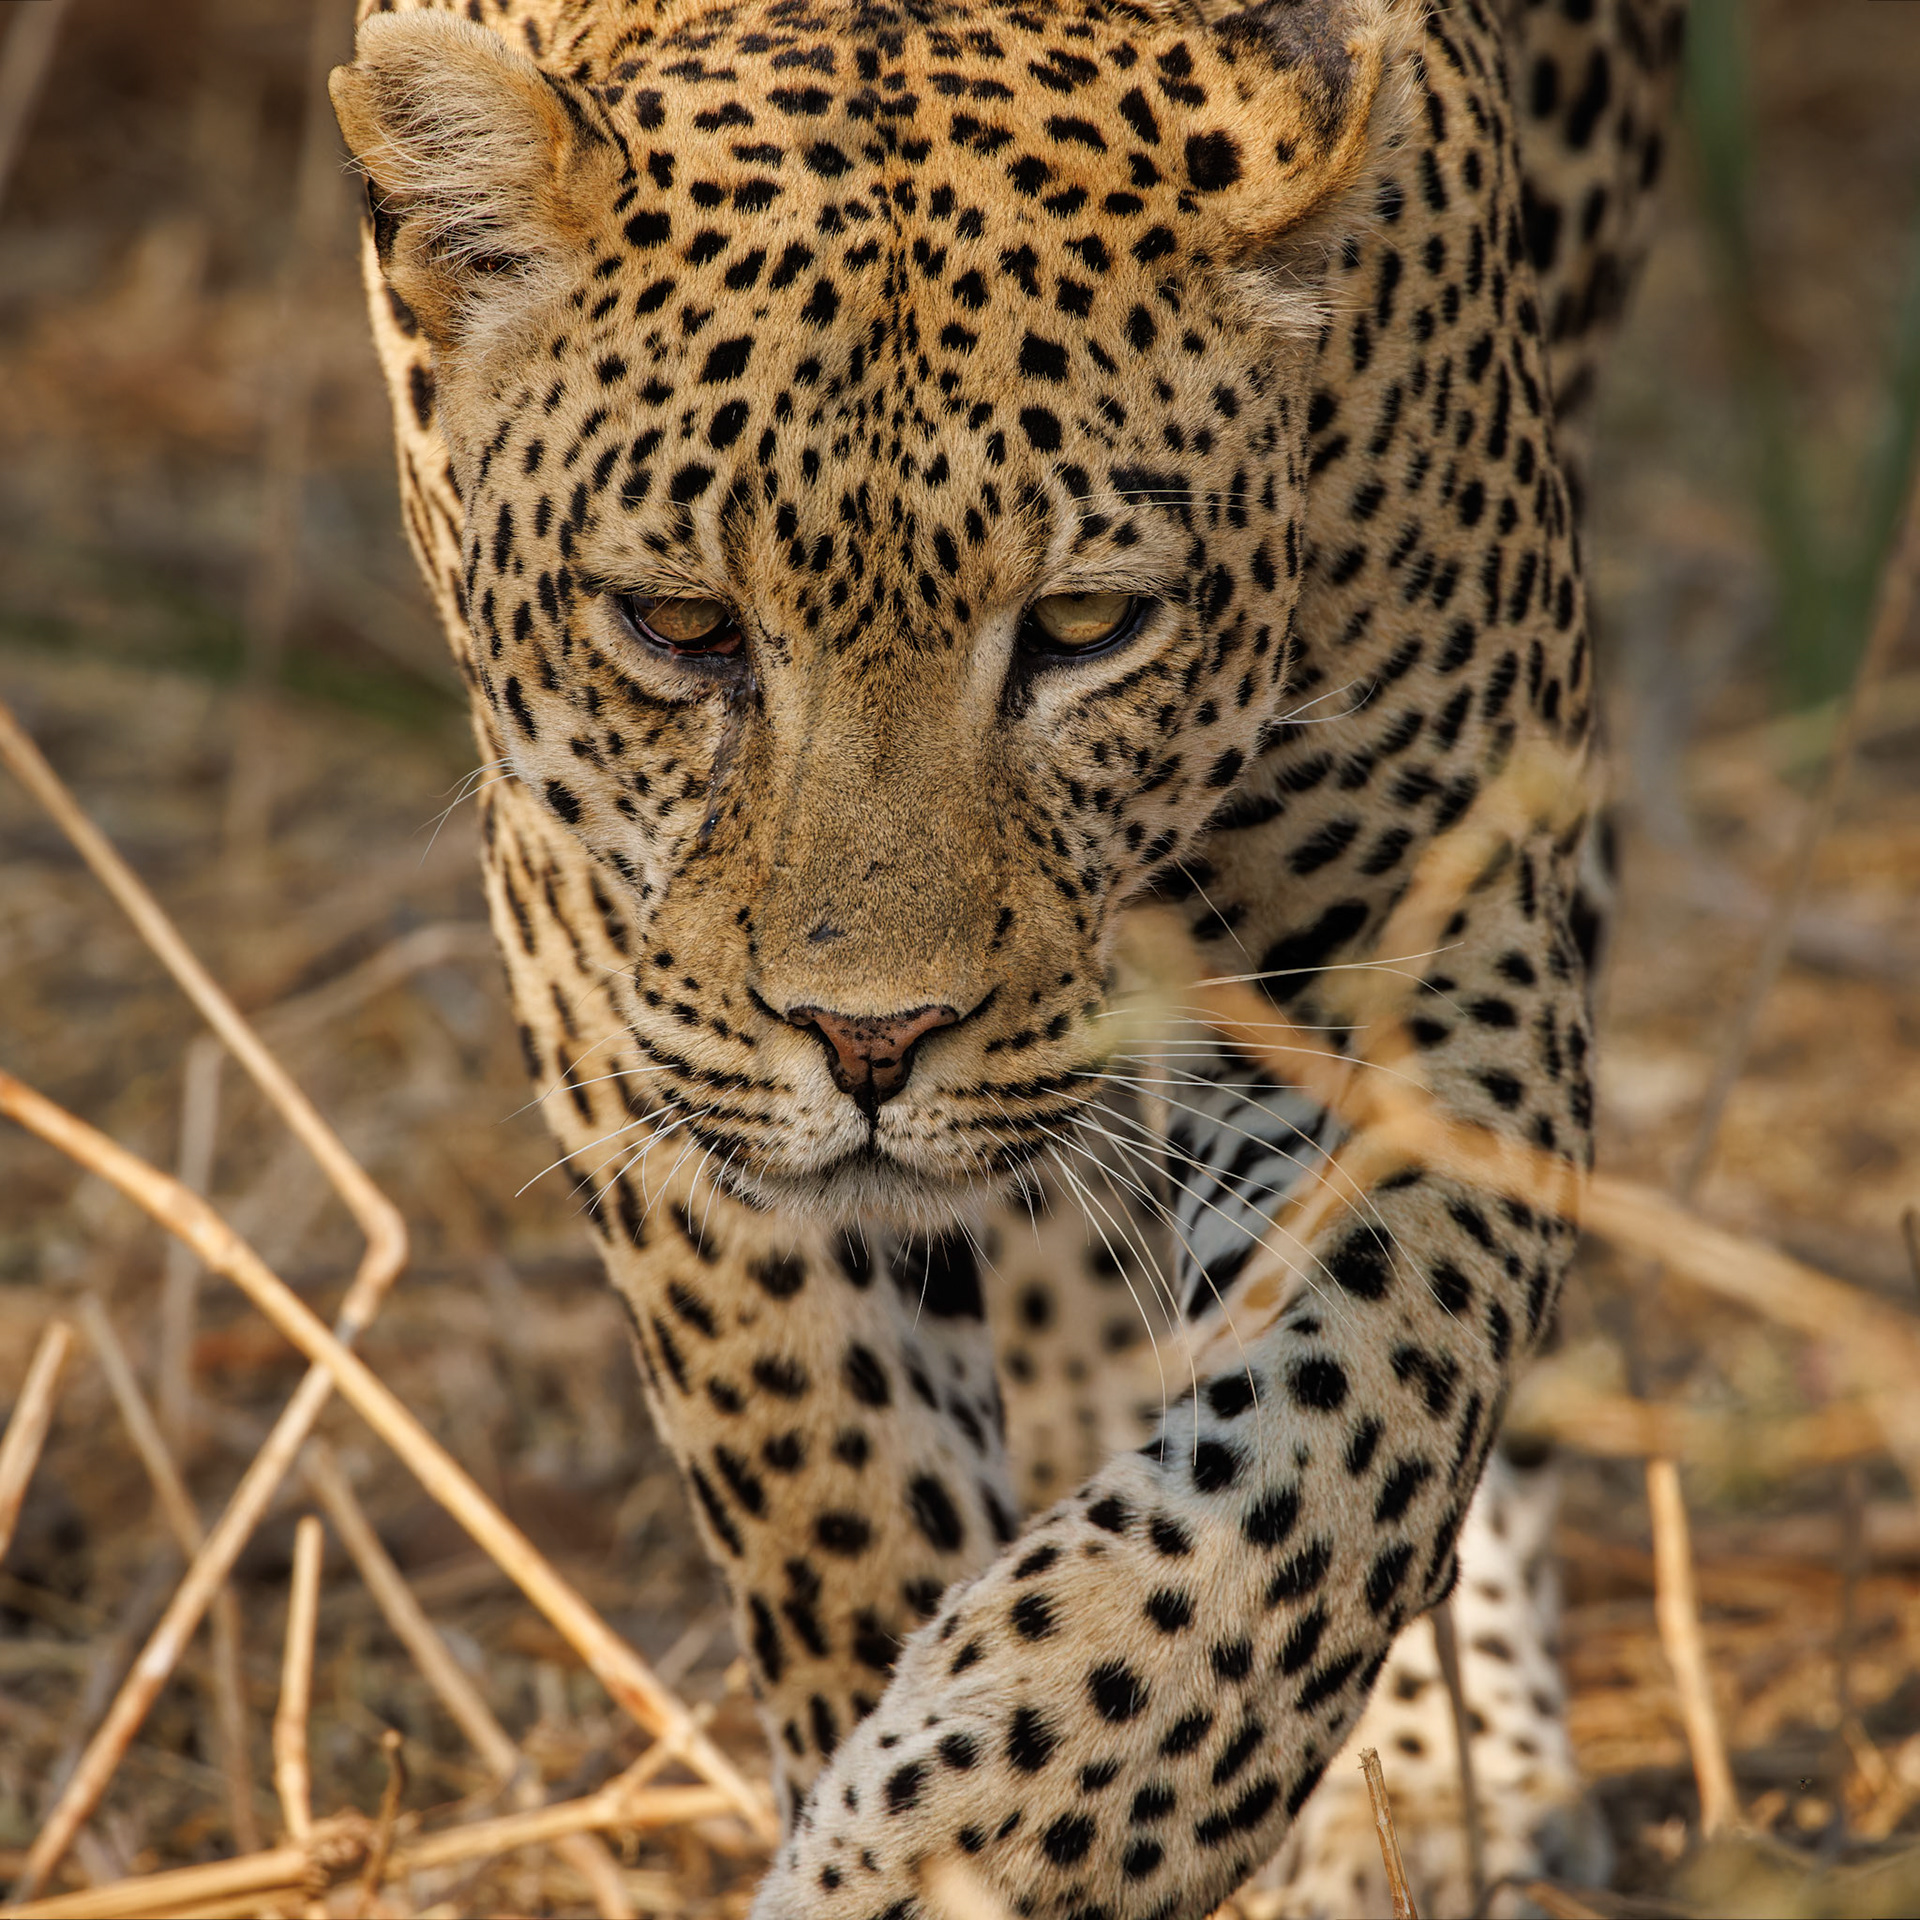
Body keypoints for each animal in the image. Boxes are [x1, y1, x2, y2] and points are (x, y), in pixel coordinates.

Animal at [330, 0, 1682, 1912]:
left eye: (1085, 627)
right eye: (680, 627)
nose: (870, 1042)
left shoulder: (1419, 927)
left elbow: (1332, 1450)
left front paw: (968, 1838)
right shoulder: (619, 964)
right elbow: (831, 1459)